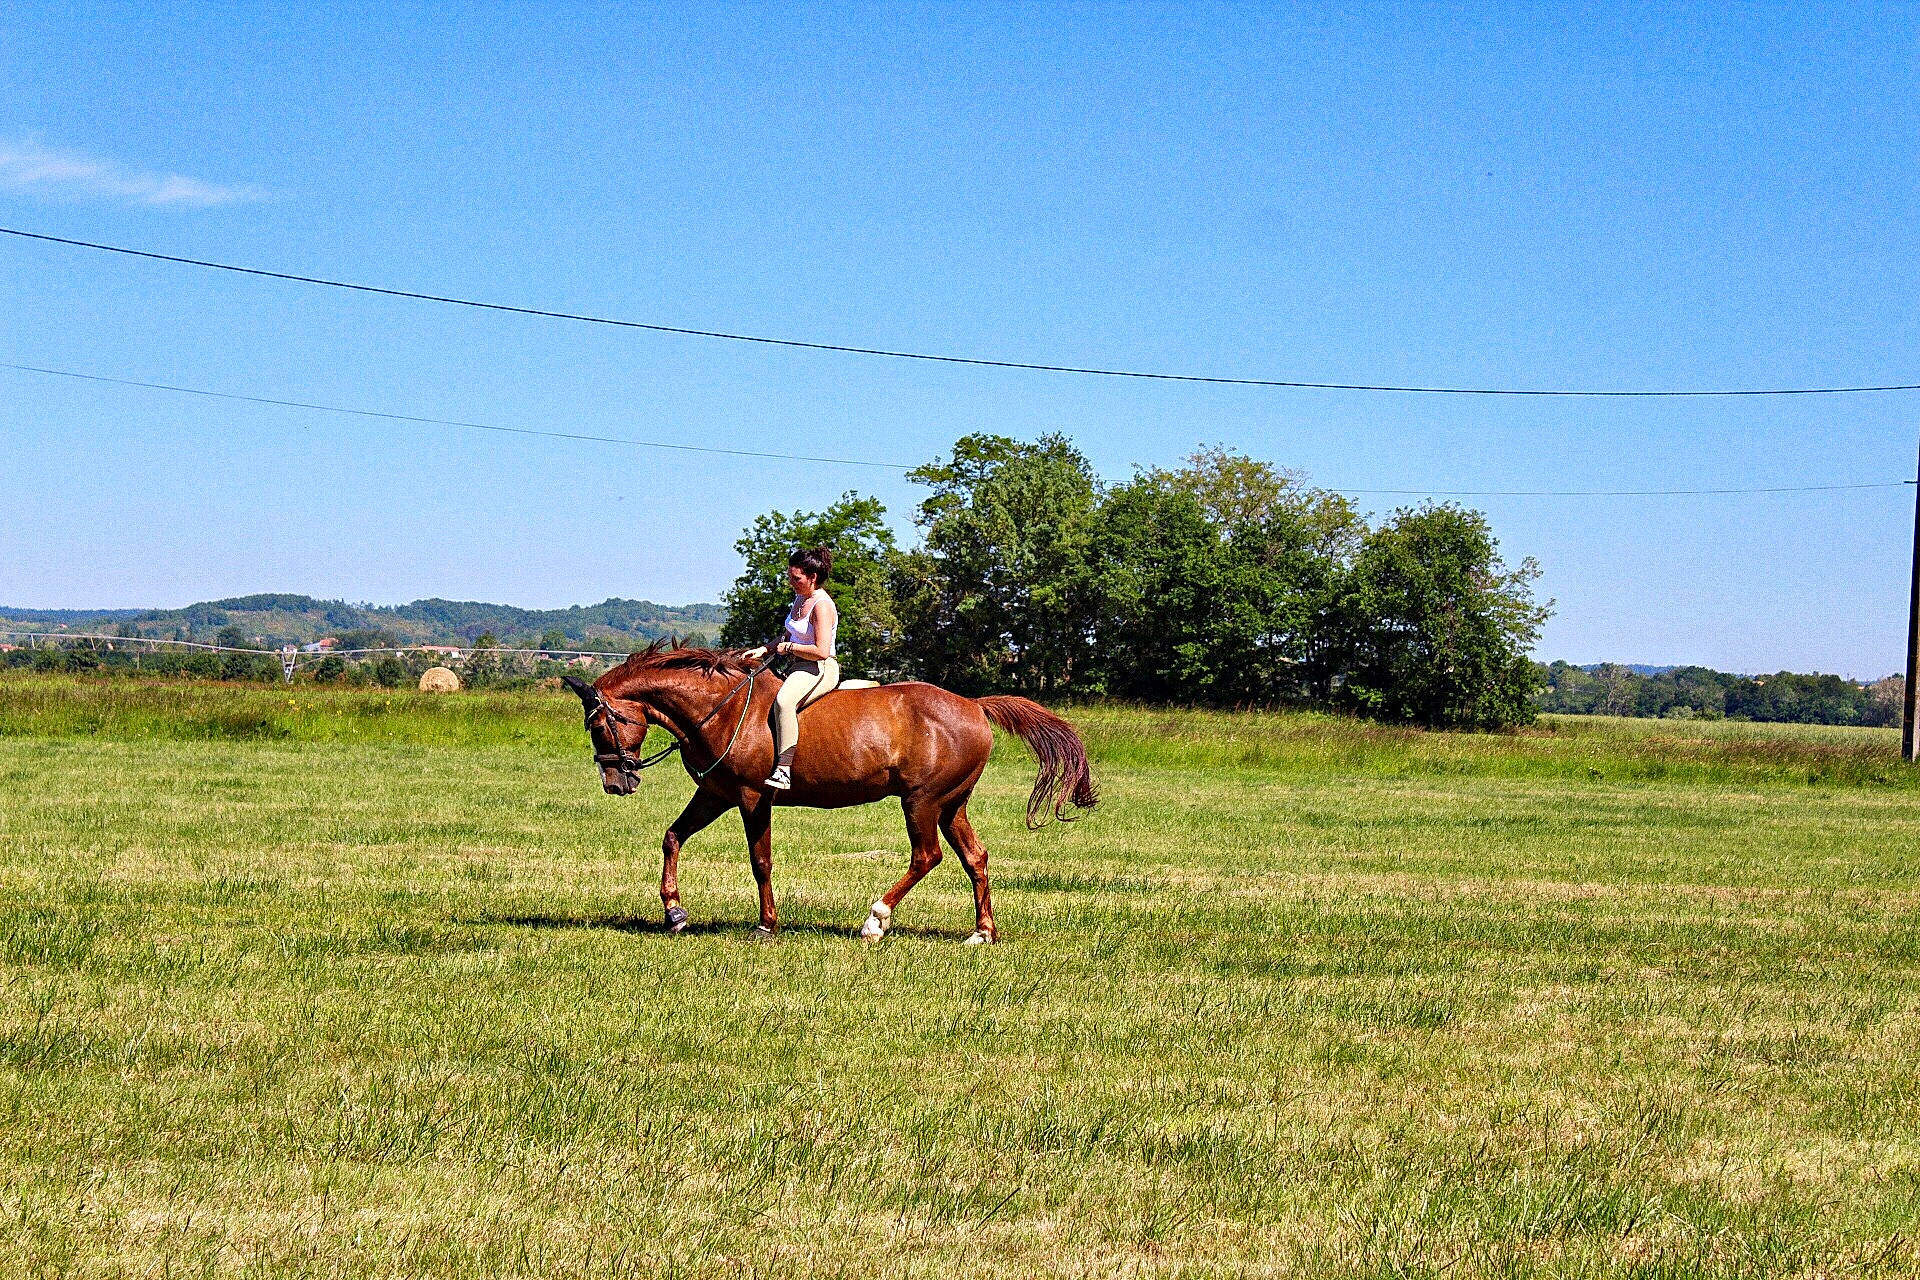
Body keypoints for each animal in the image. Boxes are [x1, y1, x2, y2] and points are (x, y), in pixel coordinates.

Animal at [563, 641, 1097, 943]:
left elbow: (760, 860)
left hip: (921, 802)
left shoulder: (753, 798)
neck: (720, 709)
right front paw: (674, 912)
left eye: (598, 724)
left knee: (927, 857)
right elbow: (672, 838)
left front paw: (767, 925)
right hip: (951, 805)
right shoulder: (715, 794)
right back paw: (982, 934)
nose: (617, 783)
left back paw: (875, 921)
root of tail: (973, 704)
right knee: (975, 858)